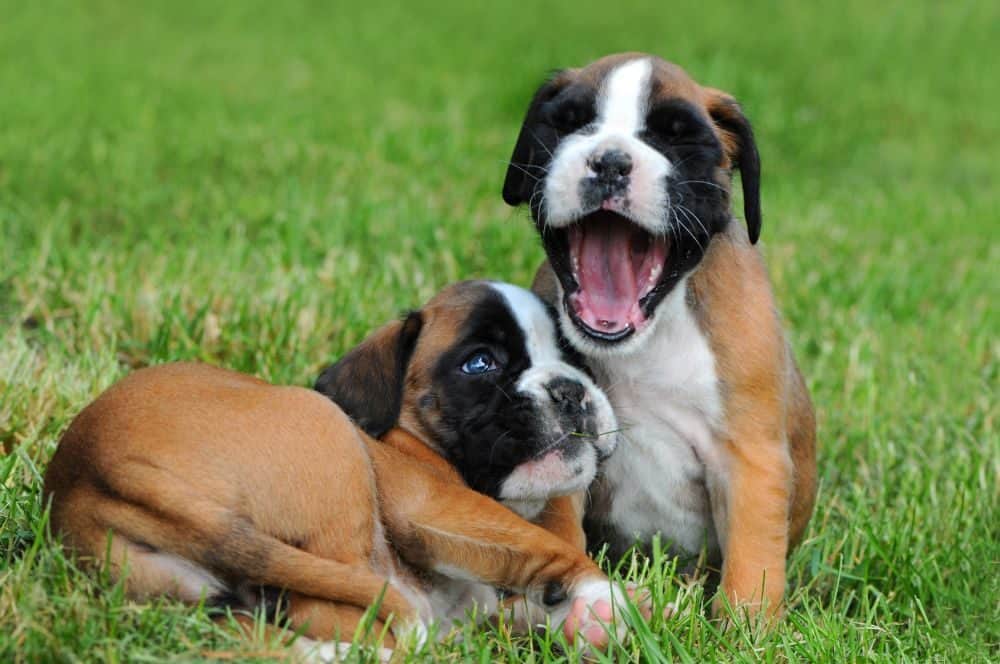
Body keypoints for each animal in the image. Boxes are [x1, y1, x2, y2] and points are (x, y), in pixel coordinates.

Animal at [45, 278, 632, 652]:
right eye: (480, 363)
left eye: (577, 359)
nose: (570, 392)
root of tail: (95, 465)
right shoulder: (436, 508)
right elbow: (543, 544)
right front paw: (603, 600)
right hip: (331, 449)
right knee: (337, 611)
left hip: (188, 588)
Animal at [504, 54, 816, 620]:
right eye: (571, 123)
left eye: (677, 138)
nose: (609, 162)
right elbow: (560, 527)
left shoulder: (750, 459)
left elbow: (752, 560)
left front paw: (746, 630)